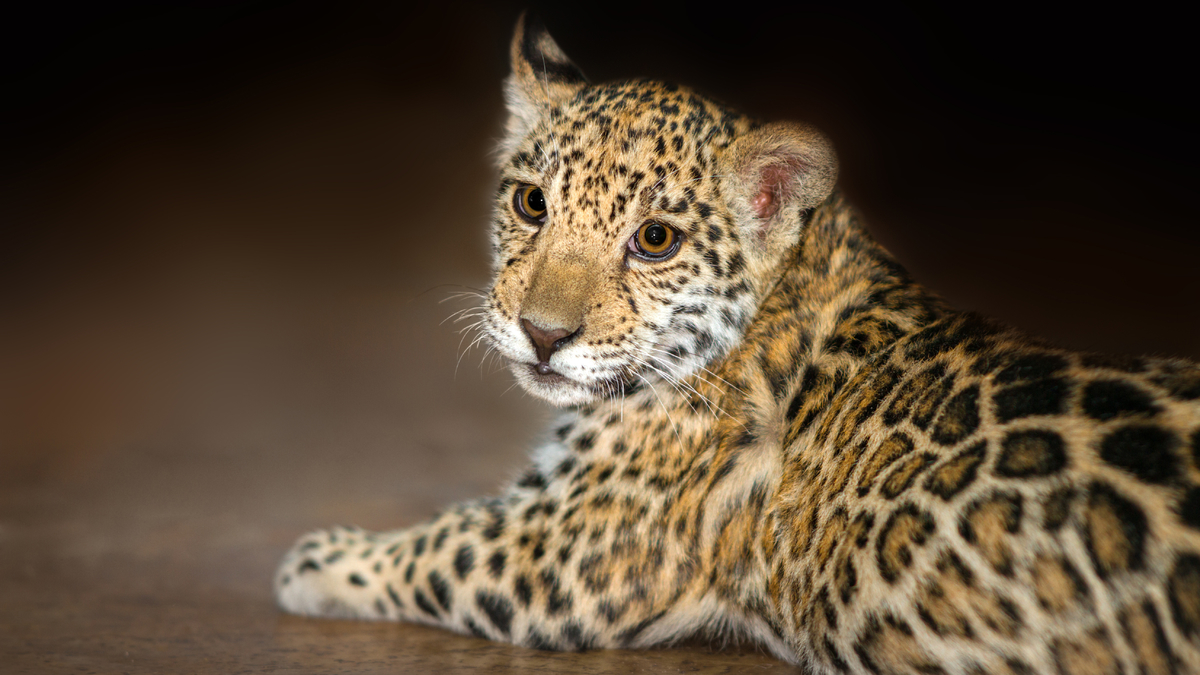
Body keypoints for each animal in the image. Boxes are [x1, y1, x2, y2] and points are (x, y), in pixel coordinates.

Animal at [274, 13, 1200, 674]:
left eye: (655, 240)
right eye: (532, 204)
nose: (543, 334)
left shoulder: (576, 548)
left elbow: (444, 539)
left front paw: (318, 558)